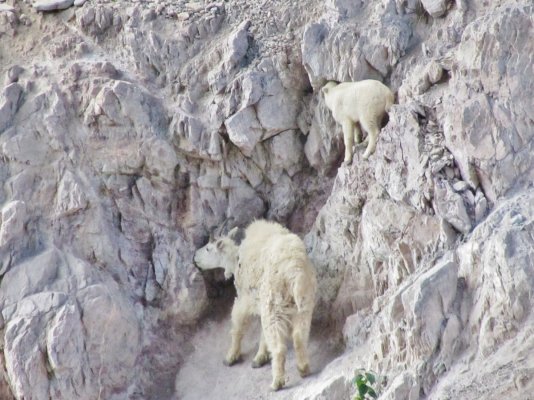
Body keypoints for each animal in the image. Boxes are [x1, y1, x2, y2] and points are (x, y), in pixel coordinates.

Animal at [194, 219, 316, 390]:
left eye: (208, 248)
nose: (194, 257)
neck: (236, 260)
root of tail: (294, 272)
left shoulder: (245, 299)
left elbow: (237, 326)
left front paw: (231, 356)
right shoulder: (261, 302)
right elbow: (262, 332)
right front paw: (260, 357)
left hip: (274, 301)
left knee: (279, 347)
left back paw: (277, 382)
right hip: (303, 302)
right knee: (299, 335)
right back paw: (303, 368)